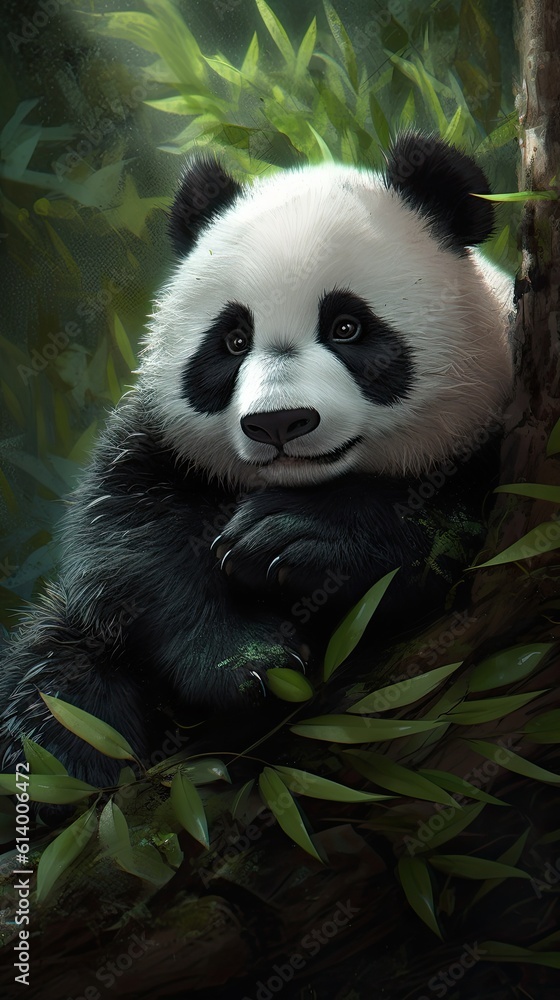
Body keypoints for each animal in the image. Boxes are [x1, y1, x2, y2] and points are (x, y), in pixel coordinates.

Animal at [0, 133, 513, 789]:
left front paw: (291, 536)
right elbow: (133, 542)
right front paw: (247, 663)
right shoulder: (160, 440)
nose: (278, 423)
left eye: (347, 327)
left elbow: (453, 529)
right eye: (233, 340)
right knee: (56, 673)